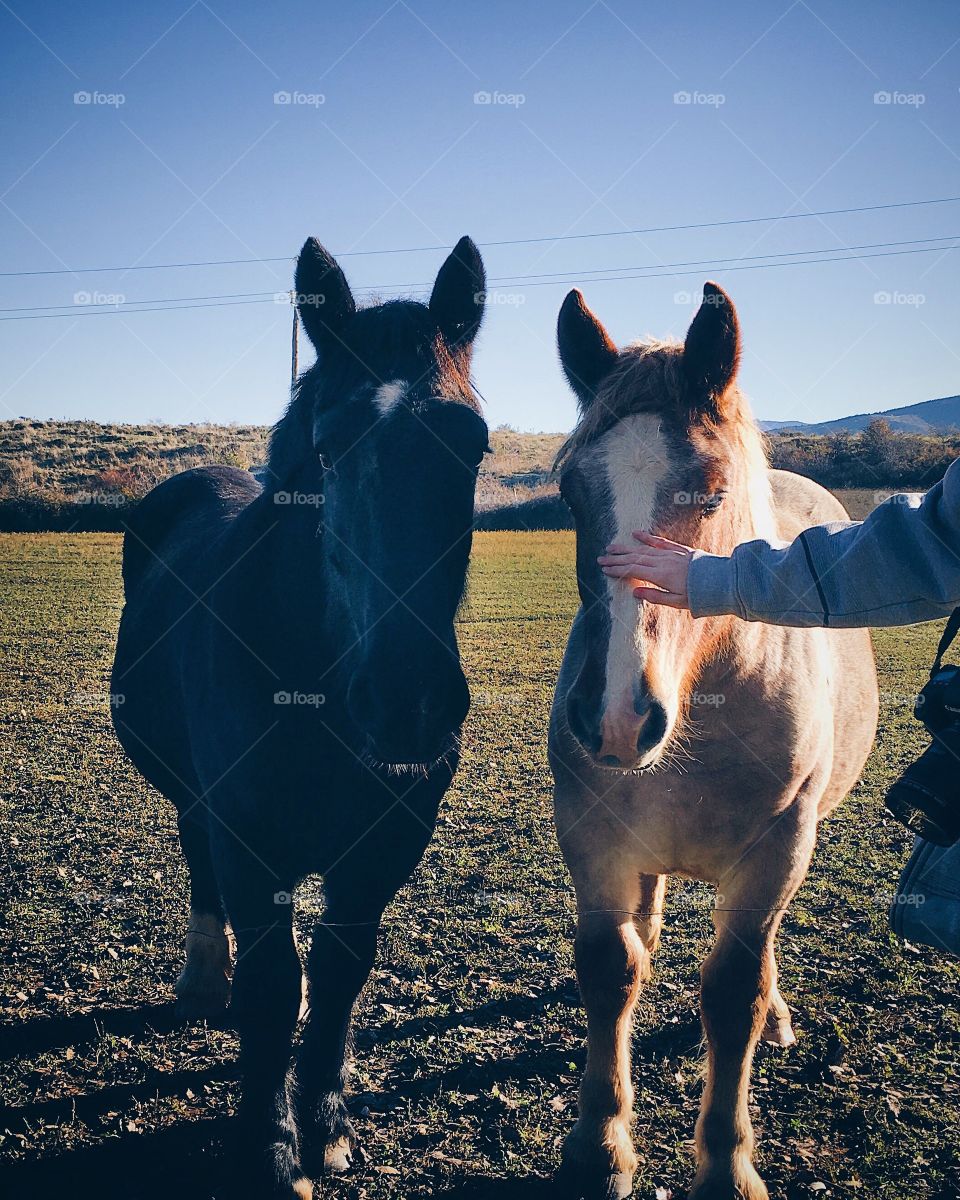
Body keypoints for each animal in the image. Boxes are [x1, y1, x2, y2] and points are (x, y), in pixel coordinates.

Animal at [110, 234, 490, 1198]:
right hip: (197, 800)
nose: (408, 700)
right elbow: (274, 984)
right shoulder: (248, 840)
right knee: (199, 861)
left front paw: (324, 1114)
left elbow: (342, 969)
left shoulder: (385, 847)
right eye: (327, 444)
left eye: (472, 444)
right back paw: (205, 976)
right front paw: (268, 1142)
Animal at [548, 282, 878, 1200]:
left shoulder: (776, 853)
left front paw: (726, 1166)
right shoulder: (594, 843)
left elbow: (731, 997)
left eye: (711, 492)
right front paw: (599, 1146)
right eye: (570, 494)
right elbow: (611, 971)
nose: (616, 716)